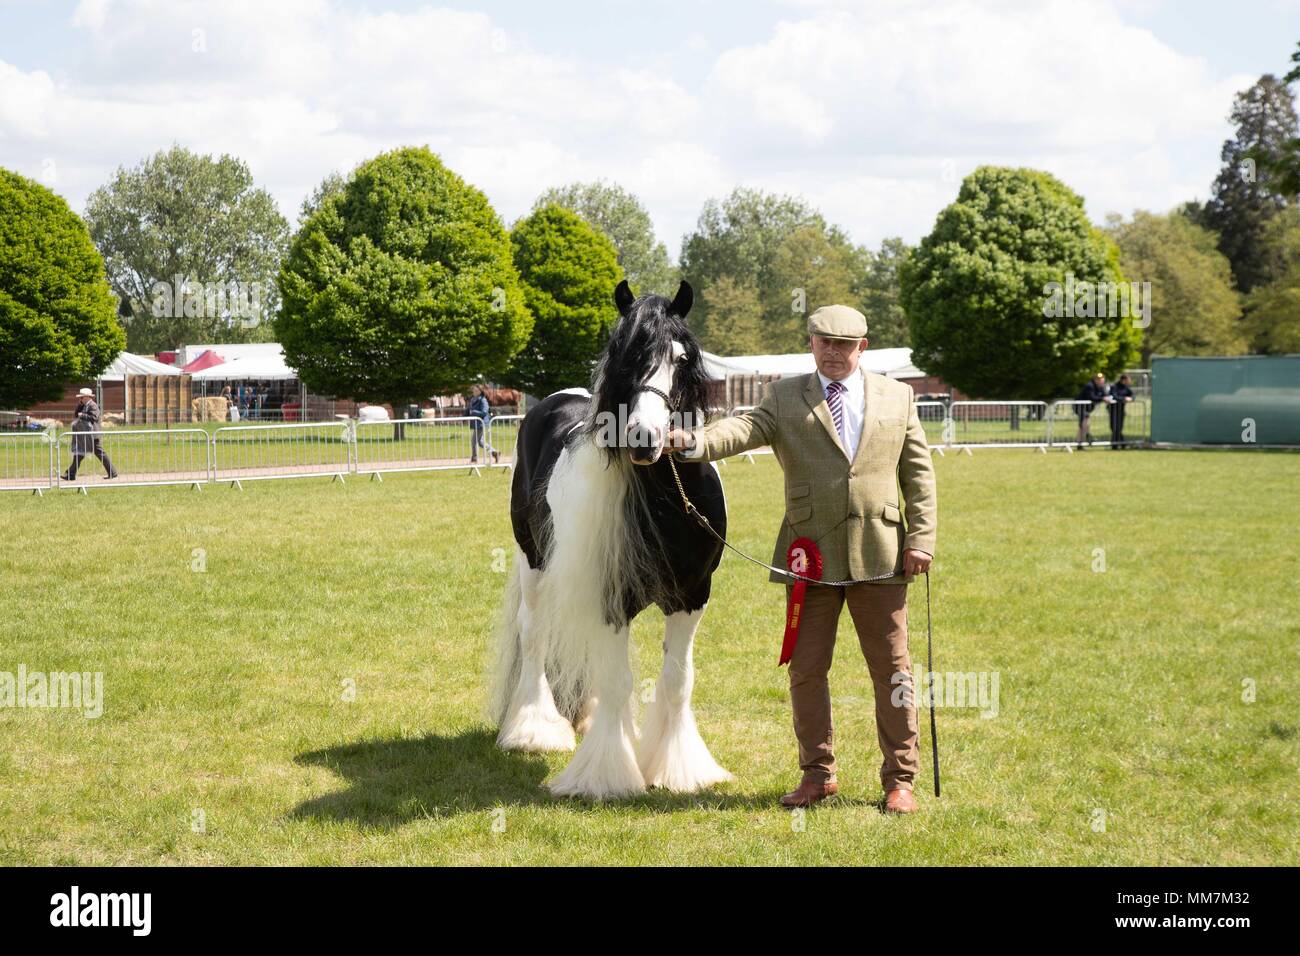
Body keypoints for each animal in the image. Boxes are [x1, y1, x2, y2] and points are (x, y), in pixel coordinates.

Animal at [488, 282, 733, 801]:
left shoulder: (692, 596)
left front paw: (678, 769)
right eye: (626, 356)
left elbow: (676, 680)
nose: (644, 437)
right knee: (534, 635)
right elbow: (619, 680)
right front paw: (607, 775)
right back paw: (533, 731)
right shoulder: (610, 597)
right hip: (533, 563)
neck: (666, 499)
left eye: (682, 358)